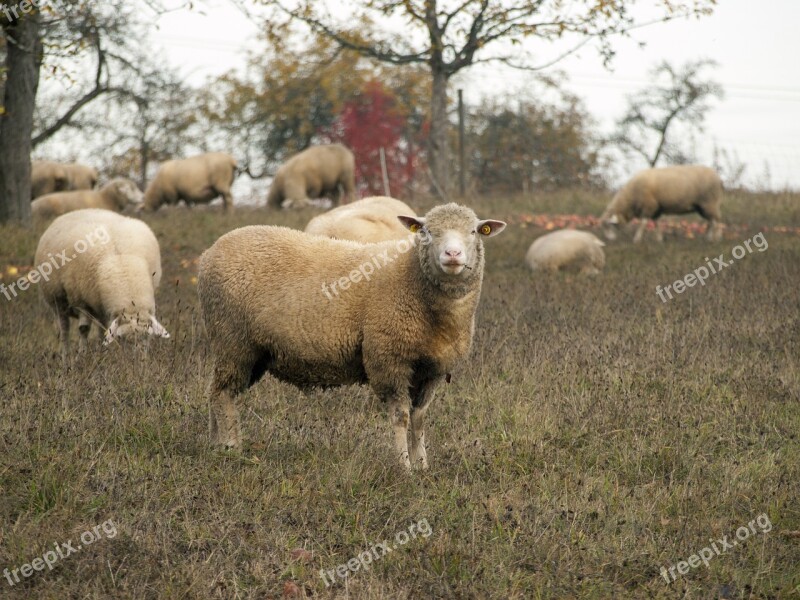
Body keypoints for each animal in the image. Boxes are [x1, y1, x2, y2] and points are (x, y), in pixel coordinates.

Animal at [36, 207, 172, 356]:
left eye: (147, 336)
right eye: (121, 338)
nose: (136, 359)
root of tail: (81, 210)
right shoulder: (80, 302)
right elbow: (83, 329)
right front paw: (82, 355)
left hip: (98, 303)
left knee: (102, 327)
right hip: (57, 301)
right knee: (64, 328)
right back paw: (65, 356)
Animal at [196, 204, 504, 472]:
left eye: (474, 231)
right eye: (426, 231)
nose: (453, 253)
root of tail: (209, 253)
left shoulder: (434, 369)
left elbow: (419, 419)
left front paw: (423, 466)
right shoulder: (388, 359)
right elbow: (401, 417)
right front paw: (404, 468)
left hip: (250, 350)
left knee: (215, 391)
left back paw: (215, 445)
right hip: (232, 339)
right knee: (222, 394)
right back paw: (231, 447)